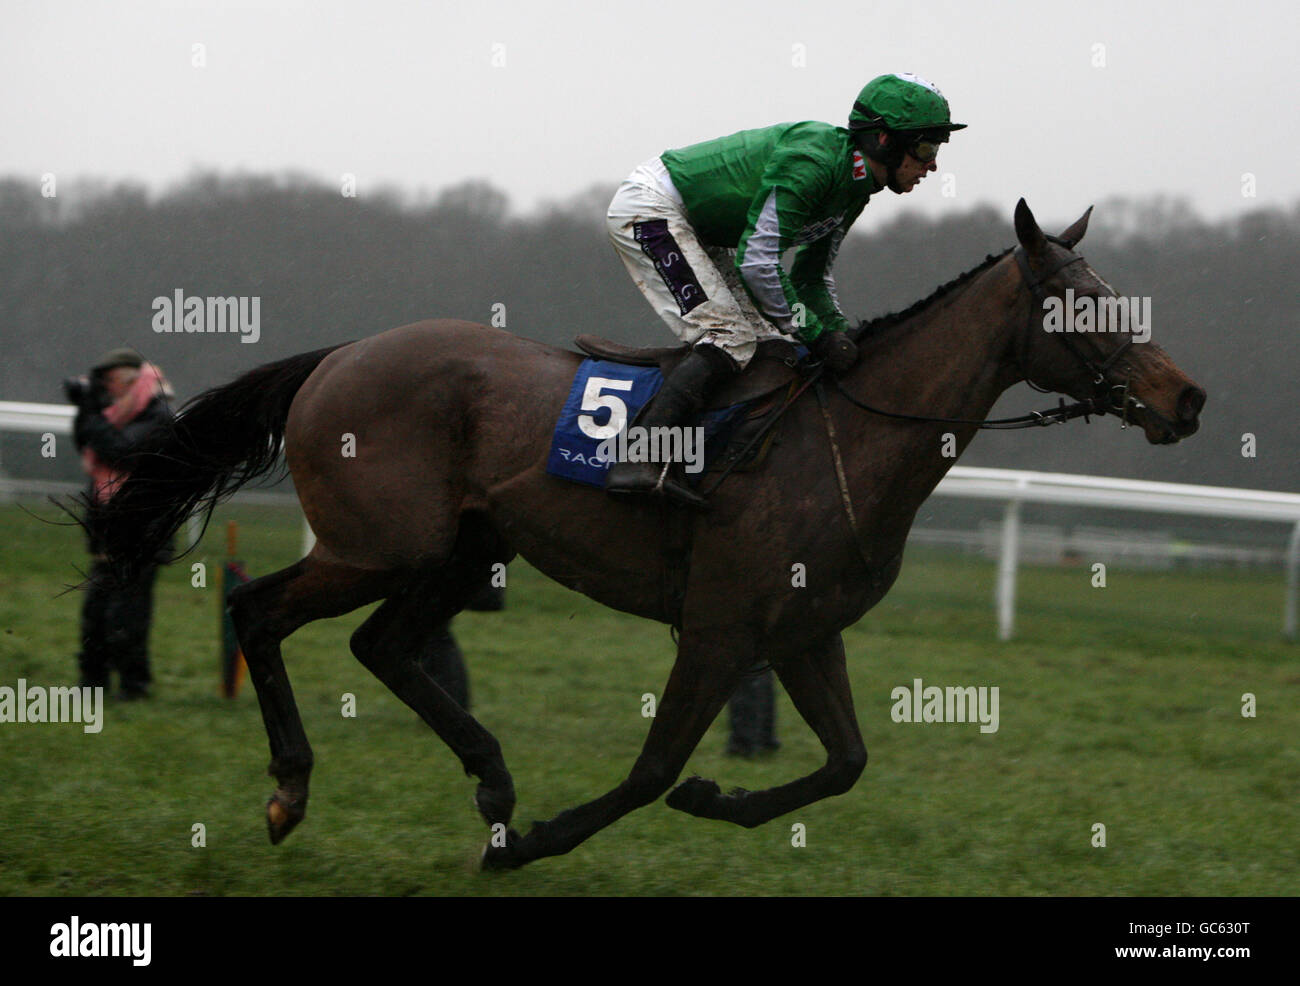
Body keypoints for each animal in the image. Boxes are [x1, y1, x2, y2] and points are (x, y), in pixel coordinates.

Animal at [93, 199, 1205, 869]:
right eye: (1081, 304)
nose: (1185, 397)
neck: (843, 435)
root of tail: (342, 355)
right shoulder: (718, 629)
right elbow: (650, 771)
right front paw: (532, 841)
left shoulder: (802, 631)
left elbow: (845, 761)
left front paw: (721, 797)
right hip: (380, 545)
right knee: (257, 609)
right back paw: (294, 787)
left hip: (465, 549)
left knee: (383, 645)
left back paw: (489, 775)